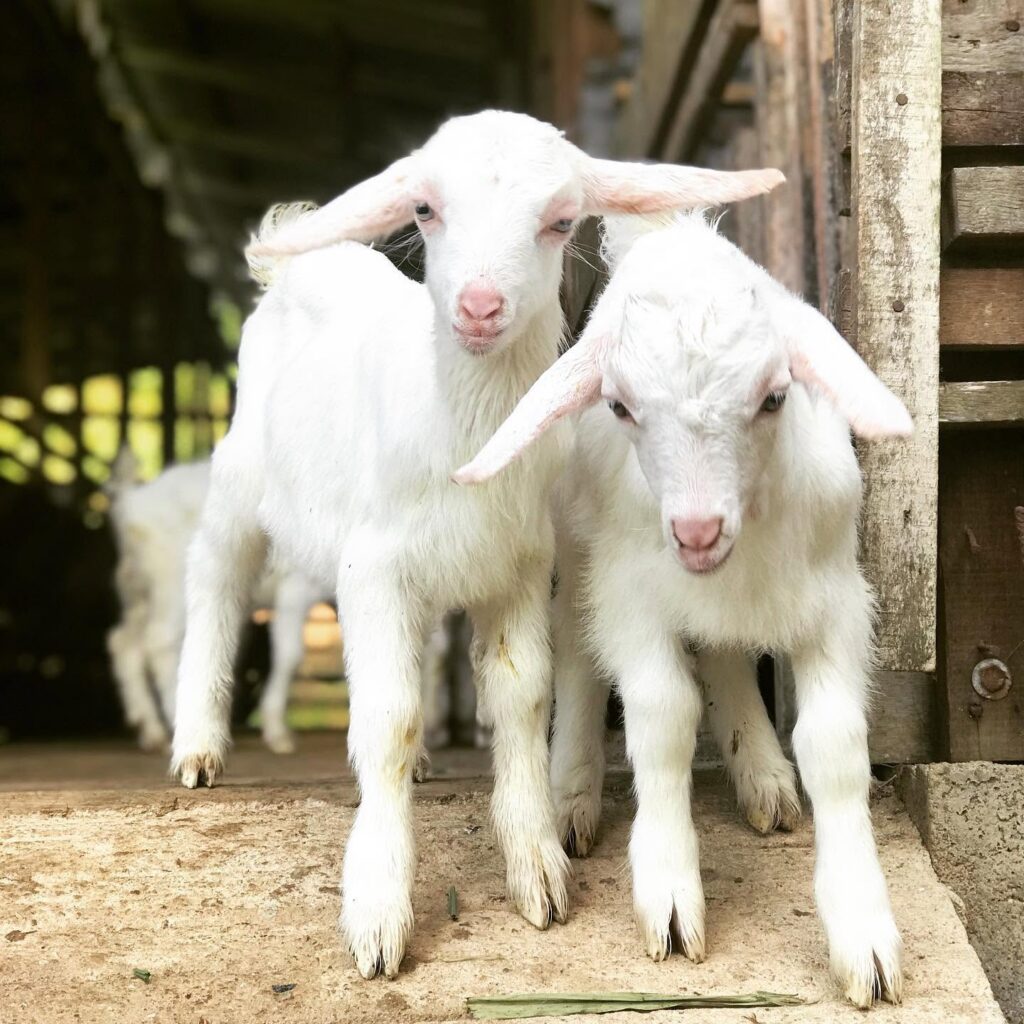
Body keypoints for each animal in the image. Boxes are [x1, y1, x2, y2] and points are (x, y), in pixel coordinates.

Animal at [169, 110, 783, 979]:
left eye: (560, 221)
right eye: (425, 209)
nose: (480, 305)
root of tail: (297, 261)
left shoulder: (517, 569)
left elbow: (520, 699)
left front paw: (537, 872)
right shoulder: (374, 568)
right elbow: (386, 714)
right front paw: (378, 910)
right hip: (240, 473)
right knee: (214, 579)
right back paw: (197, 748)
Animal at [455, 211, 911, 1008]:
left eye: (774, 397)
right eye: (620, 406)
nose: (697, 532)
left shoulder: (835, 606)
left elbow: (834, 747)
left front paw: (863, 932)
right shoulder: (634, 598)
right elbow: (664, 719)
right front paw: (669, 896)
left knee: (727, 654)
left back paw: (761, 774)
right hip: (580, 548)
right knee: (577, 656)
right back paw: (572, 793)